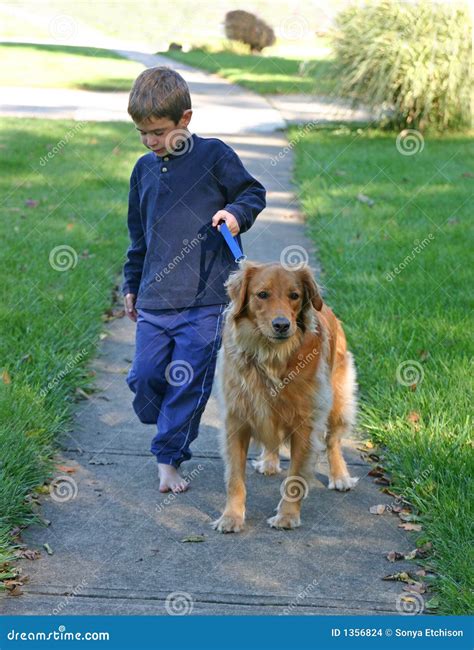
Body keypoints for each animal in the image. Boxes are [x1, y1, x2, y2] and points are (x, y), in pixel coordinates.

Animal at [213, 260, 358, 532]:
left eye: (294, 295)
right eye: (262, 294)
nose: (281, 325)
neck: (270, 354)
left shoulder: (305, 423)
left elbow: (295, 479)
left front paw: (287, 516)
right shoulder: (237, 419)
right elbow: (235, 478)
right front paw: (231, 517)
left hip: (337, 399)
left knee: (333, 440)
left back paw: (340, 476)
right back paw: (269, 462)